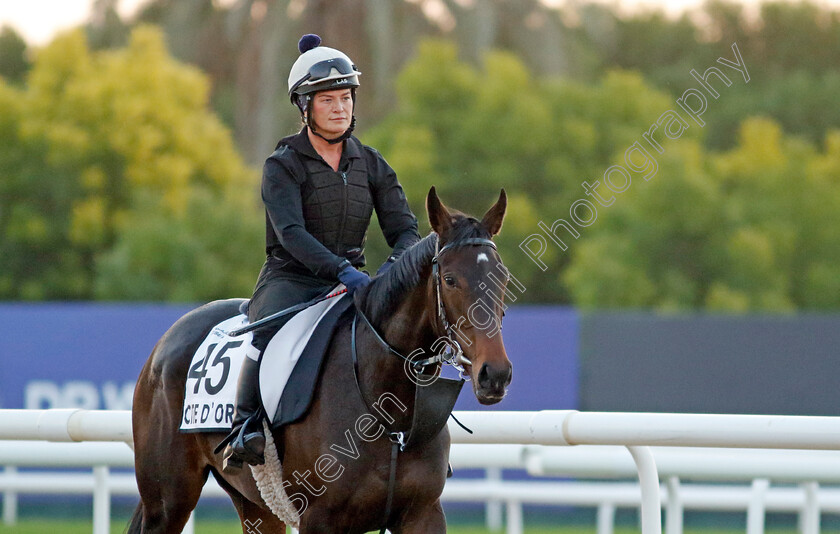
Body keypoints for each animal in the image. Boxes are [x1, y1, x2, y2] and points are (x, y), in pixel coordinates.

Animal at [128, 186, 512, 532]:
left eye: (504, 278)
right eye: (449, 279)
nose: (495, 374)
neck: (386, 408)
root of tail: (164, 344)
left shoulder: (423, 514)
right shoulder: (320, 519)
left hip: (257, 507)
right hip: (167, 501)